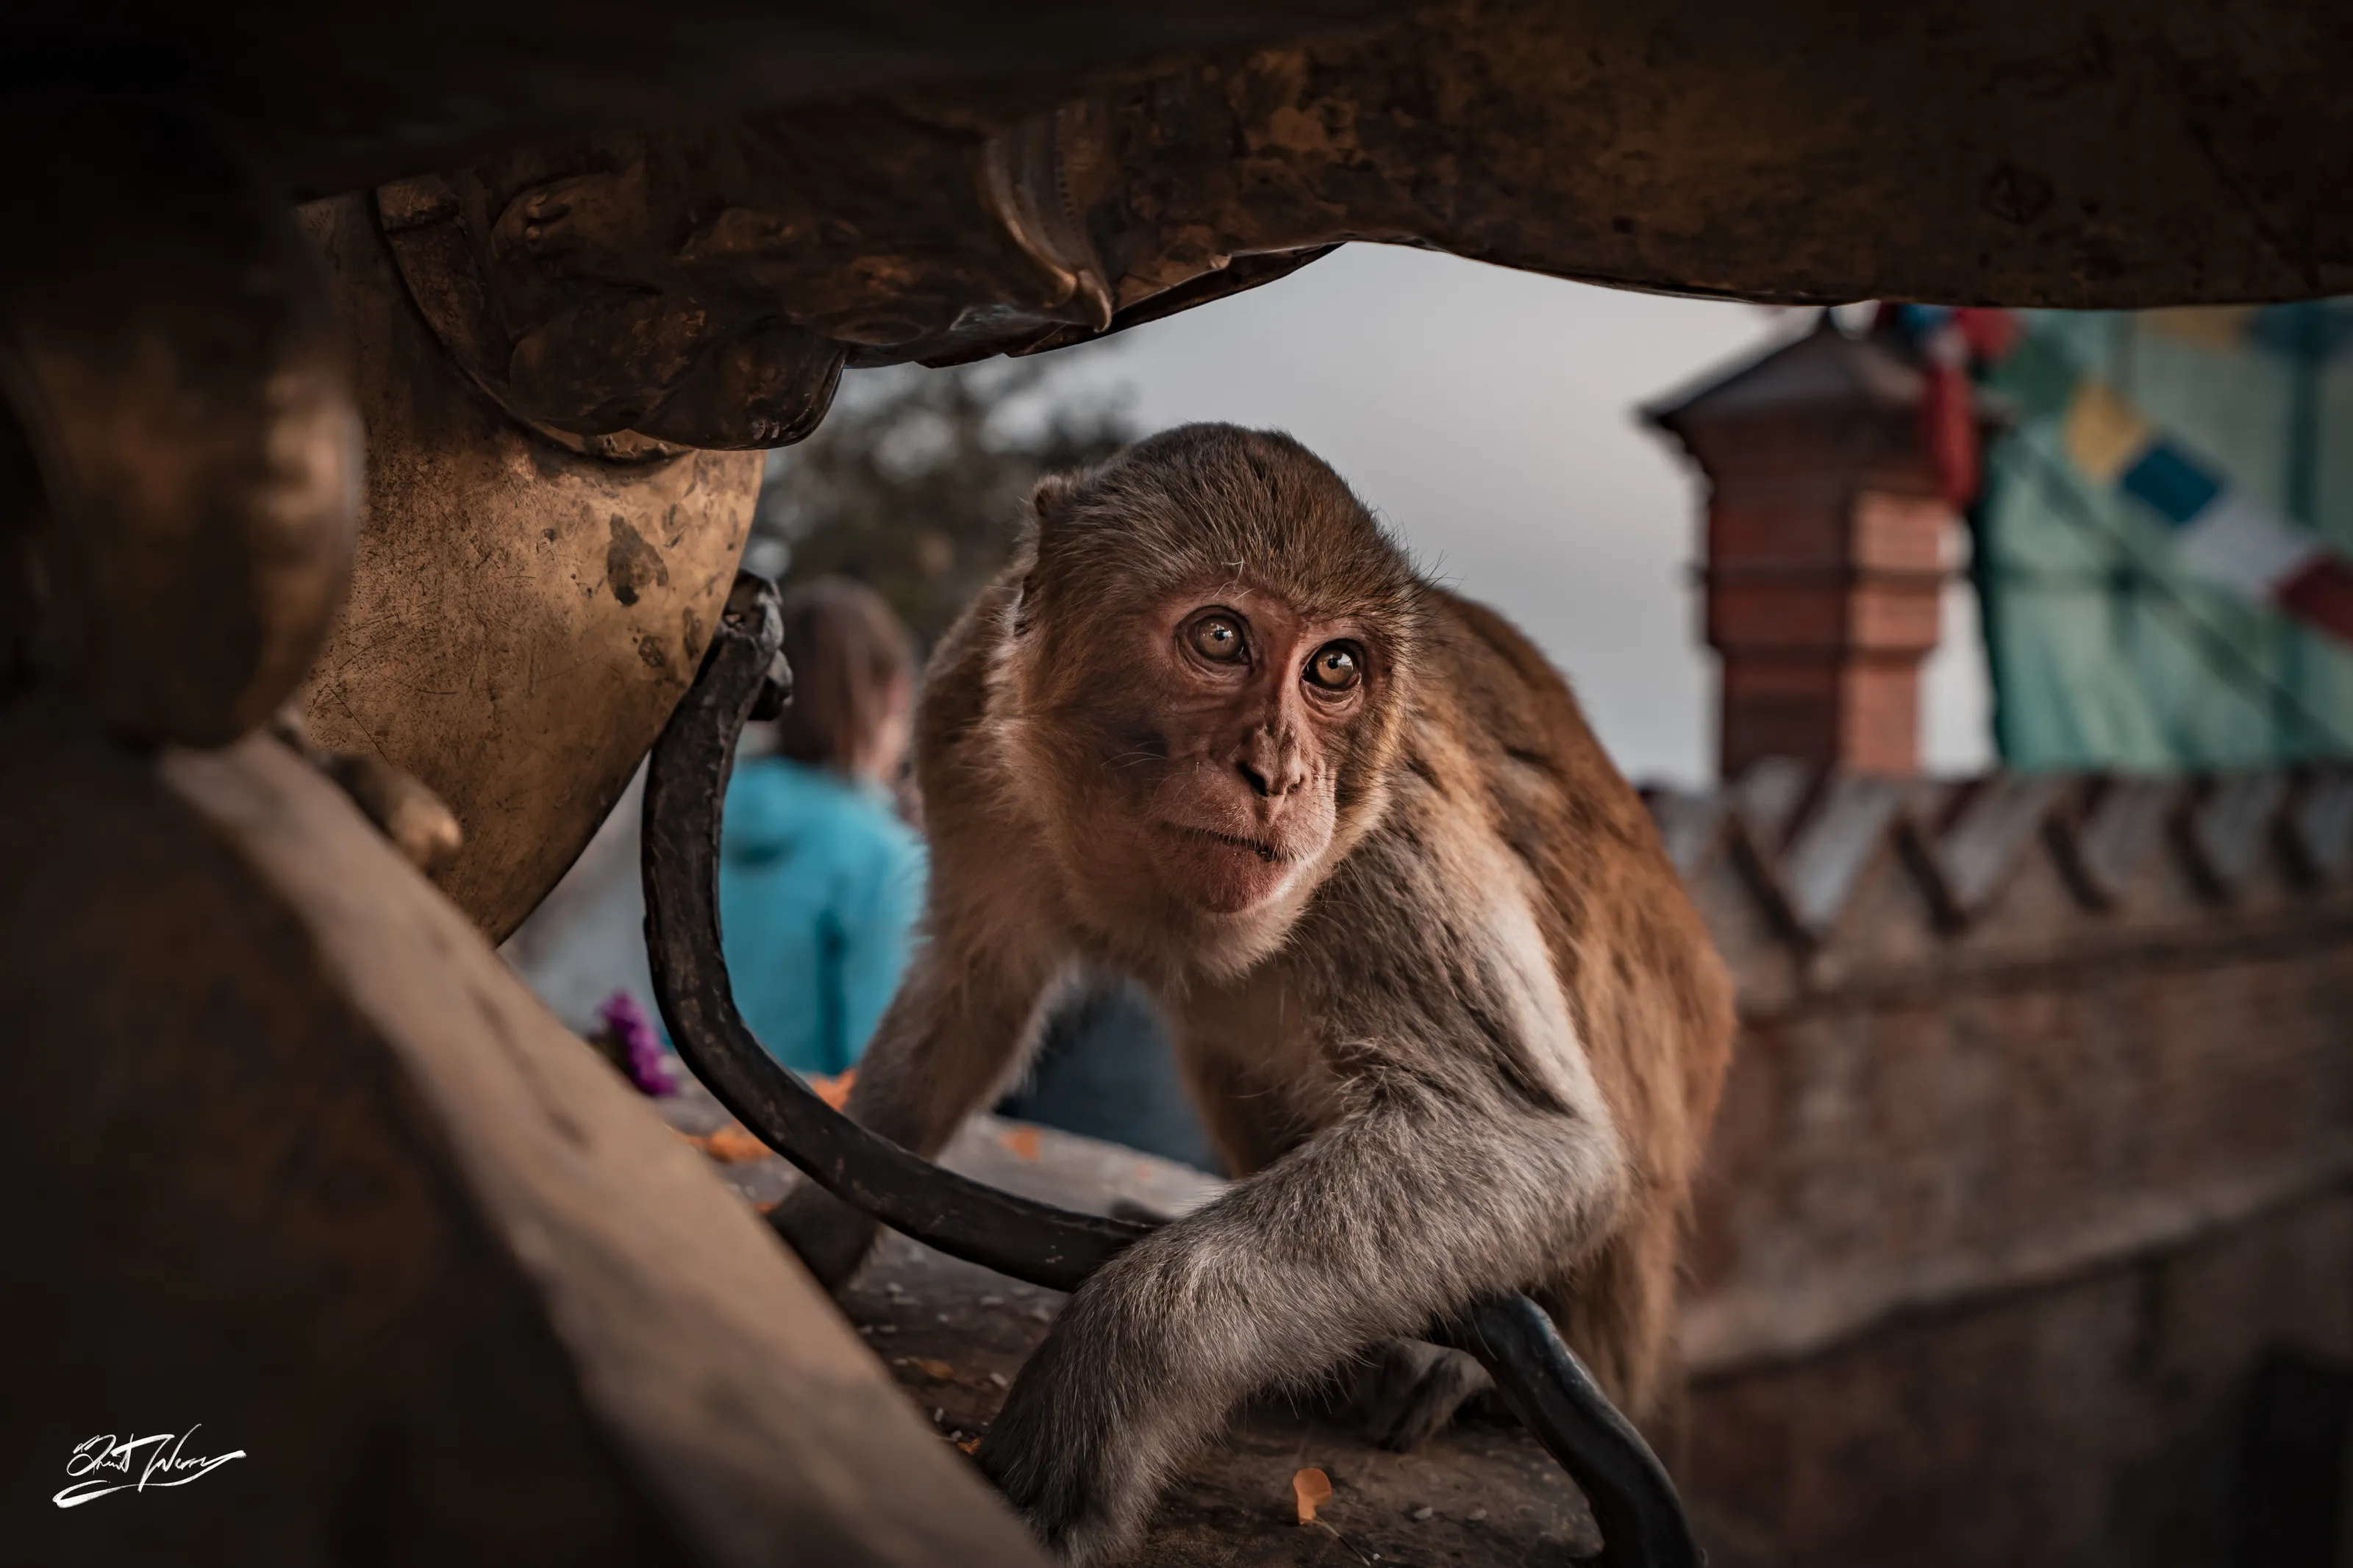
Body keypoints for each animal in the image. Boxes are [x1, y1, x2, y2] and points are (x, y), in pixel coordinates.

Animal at [770, 423, 1737, 1564]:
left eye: (1335, 668)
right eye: (1221, 638)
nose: (1278, 772)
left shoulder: (1384, 830)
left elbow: (1532, 1139)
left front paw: (1101, 1381)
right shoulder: (964, 712)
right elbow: (975, 990)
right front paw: (811, 1228)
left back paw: (1452, 1366)